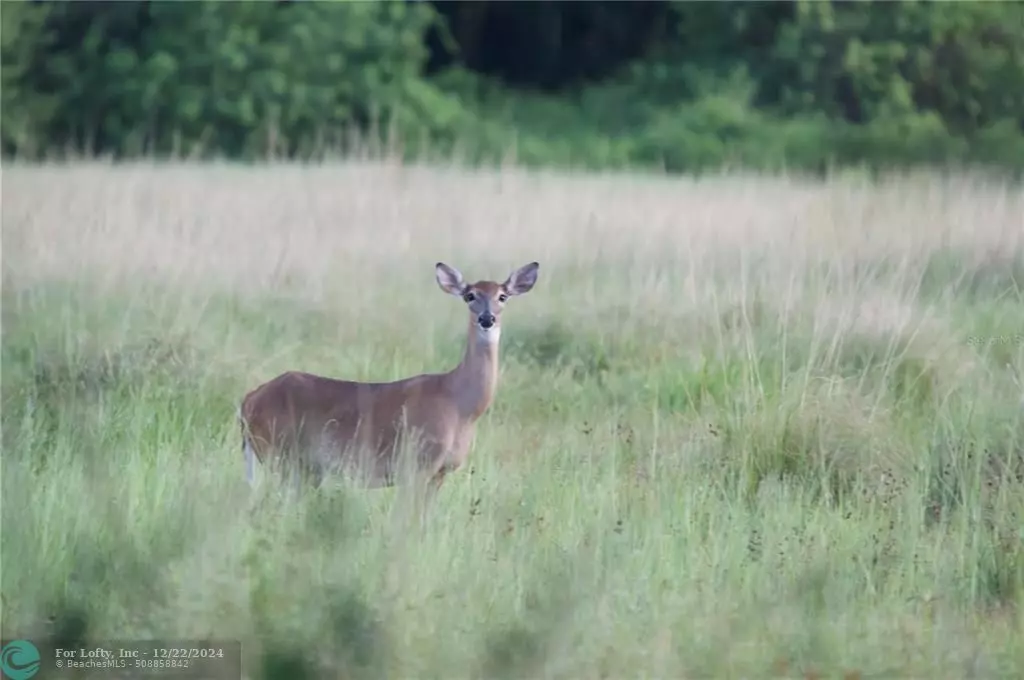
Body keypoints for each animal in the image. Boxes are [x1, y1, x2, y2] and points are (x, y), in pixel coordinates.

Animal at [235, 260, 540, 503]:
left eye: (503, 296)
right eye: (470, 295)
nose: (487, 319)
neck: (460, 406)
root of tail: (248, 400)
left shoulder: (439, 473)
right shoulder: (415, 466)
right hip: (282, 456)